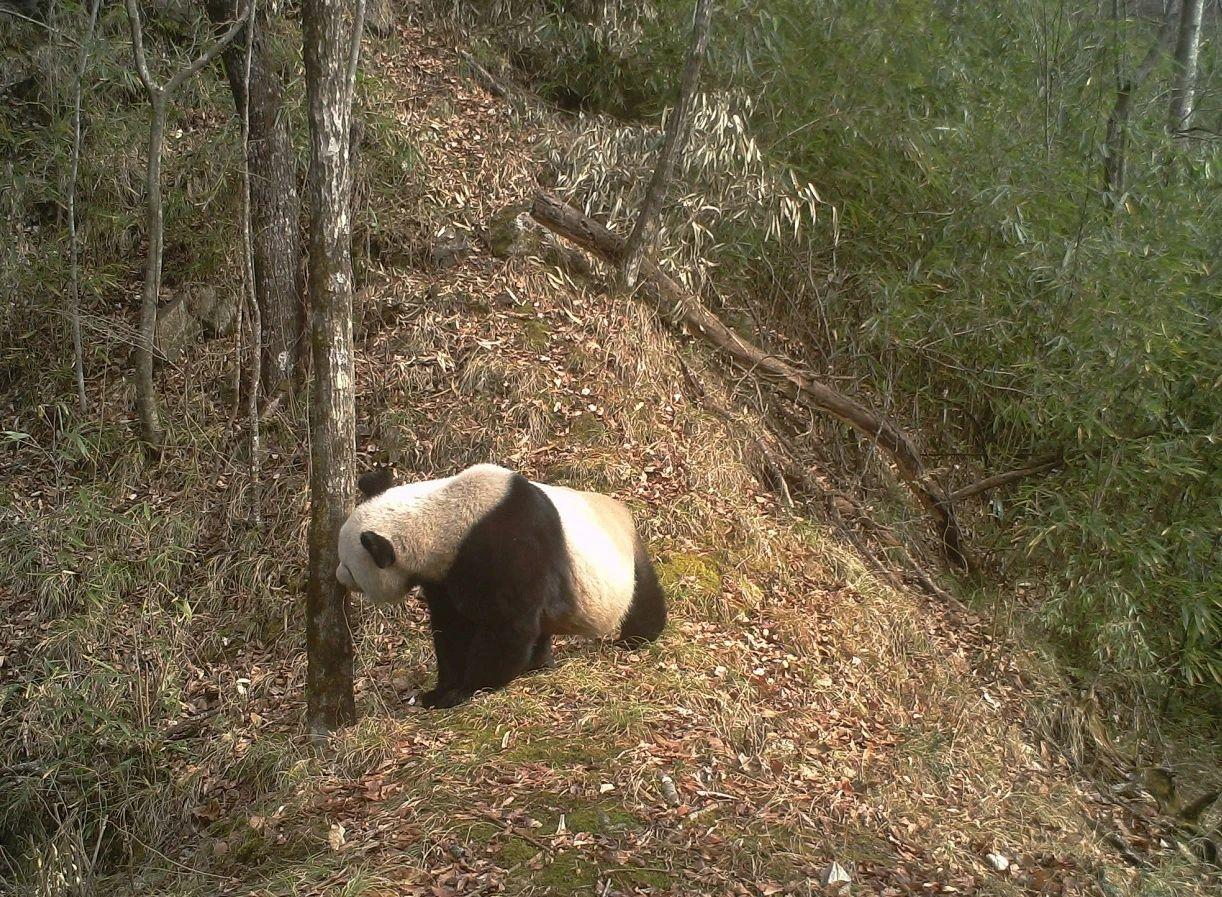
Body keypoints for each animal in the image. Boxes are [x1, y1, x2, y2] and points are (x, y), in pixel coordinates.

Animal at [334, 464, 669, 708]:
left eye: (348, 565)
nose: (338, 576)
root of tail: (623, 510)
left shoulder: (509, 545)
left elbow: (509, 625)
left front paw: (469, 689)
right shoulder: (444, 574)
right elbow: (453, 628)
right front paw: (439, 691)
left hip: (621, 564)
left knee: (643, 596)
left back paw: (636, 638)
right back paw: (539, 663)